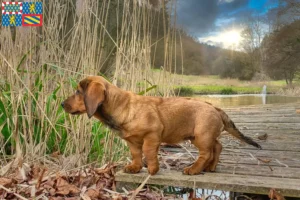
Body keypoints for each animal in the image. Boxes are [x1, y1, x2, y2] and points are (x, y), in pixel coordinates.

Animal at [61, 76, 260, 175]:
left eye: (78, 92)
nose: (62, 104)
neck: (123, 106)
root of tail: (215, 107)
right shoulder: (132, 141)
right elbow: (136, 154)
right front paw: (135, 168)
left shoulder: (152, 136)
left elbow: (148, 152)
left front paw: (153, 169)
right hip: (202, 136)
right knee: (218, 147)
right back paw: (210, 168)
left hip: (201, 137)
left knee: (207, 153)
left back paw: (194, 169)